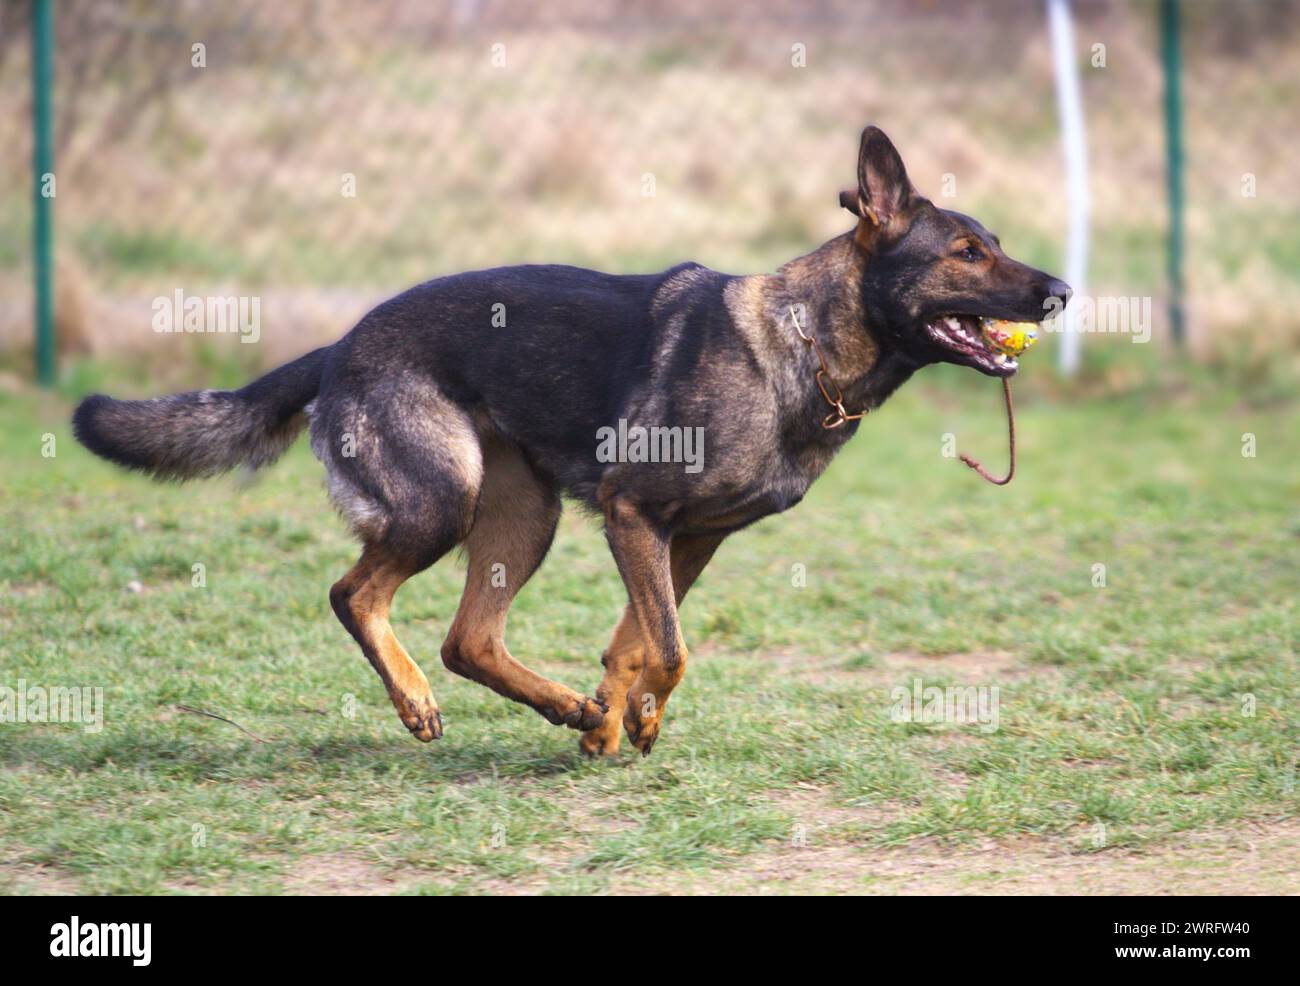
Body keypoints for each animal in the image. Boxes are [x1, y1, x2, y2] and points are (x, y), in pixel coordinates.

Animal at [71, 127, 1066, 759]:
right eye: (967, 252)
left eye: (994, 243)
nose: (1058, 291)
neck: (804, 344)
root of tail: (341, 344)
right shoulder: (635, 514)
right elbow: (672, 647)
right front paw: (637, 720)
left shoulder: (684, 539)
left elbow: (638, 641)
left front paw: (613, 723)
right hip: (446, 498)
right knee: (356, 595)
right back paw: (416, 701)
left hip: (525, 515)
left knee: (468, 640)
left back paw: (562, 710)